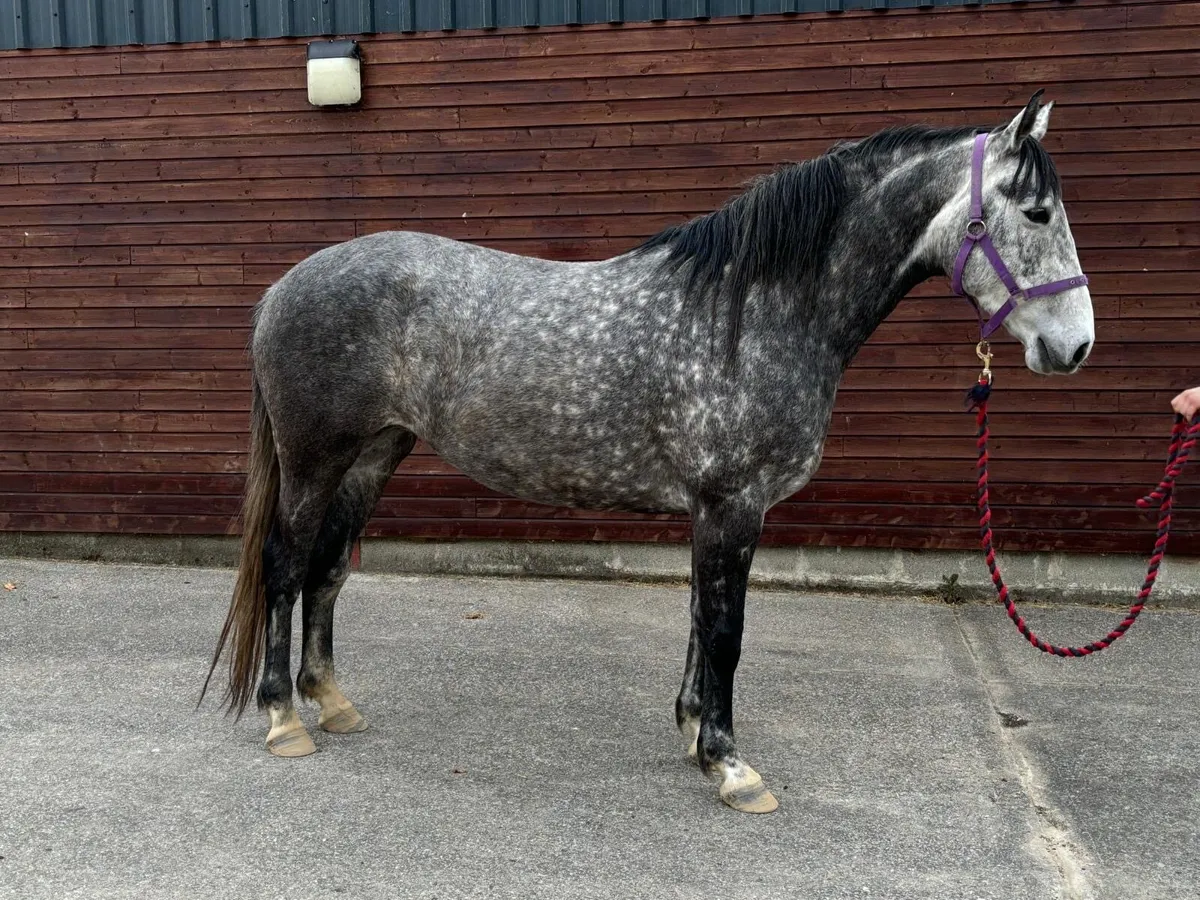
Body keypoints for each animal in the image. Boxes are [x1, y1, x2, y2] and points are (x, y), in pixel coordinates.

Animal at [201, 93, 1093, 814]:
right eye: (1037, 213)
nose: (1075, 346)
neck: (754, 311)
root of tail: (283, 289)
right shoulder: (732, 504)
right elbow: (727, 629)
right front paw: (731, 766)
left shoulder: (715, 509)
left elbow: (703, 618)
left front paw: (694, 732)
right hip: (315, 460)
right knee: (286, 567)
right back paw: (283, 718)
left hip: (373, 455)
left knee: (327, 570)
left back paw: (331, 701)